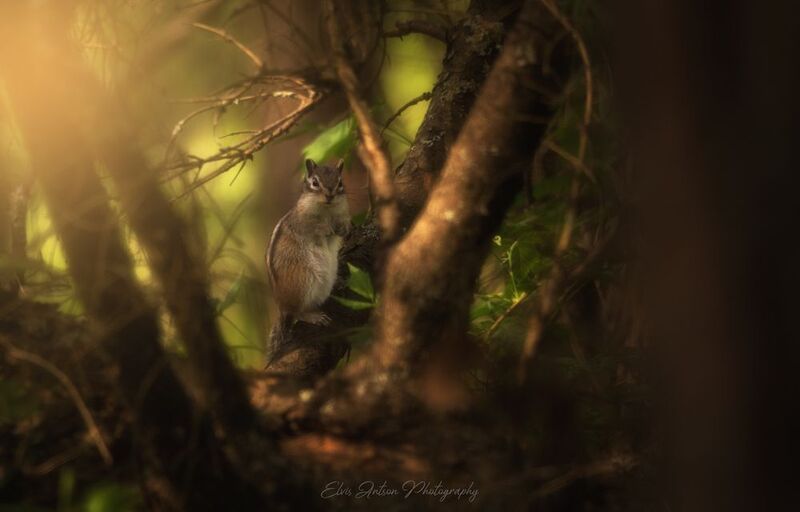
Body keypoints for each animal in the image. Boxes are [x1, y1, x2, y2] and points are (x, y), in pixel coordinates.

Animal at [266, 158, 350, 358]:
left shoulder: (344, 213)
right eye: (315, 182)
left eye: (340, 183)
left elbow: (345, 224)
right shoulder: (302, 222)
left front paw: (341, 229)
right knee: (297, 312)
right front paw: (326, 229)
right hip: (303, 280)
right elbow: (315, 227)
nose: (330, 195)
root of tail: (282, 306)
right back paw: (313, 316)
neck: (328, 210)